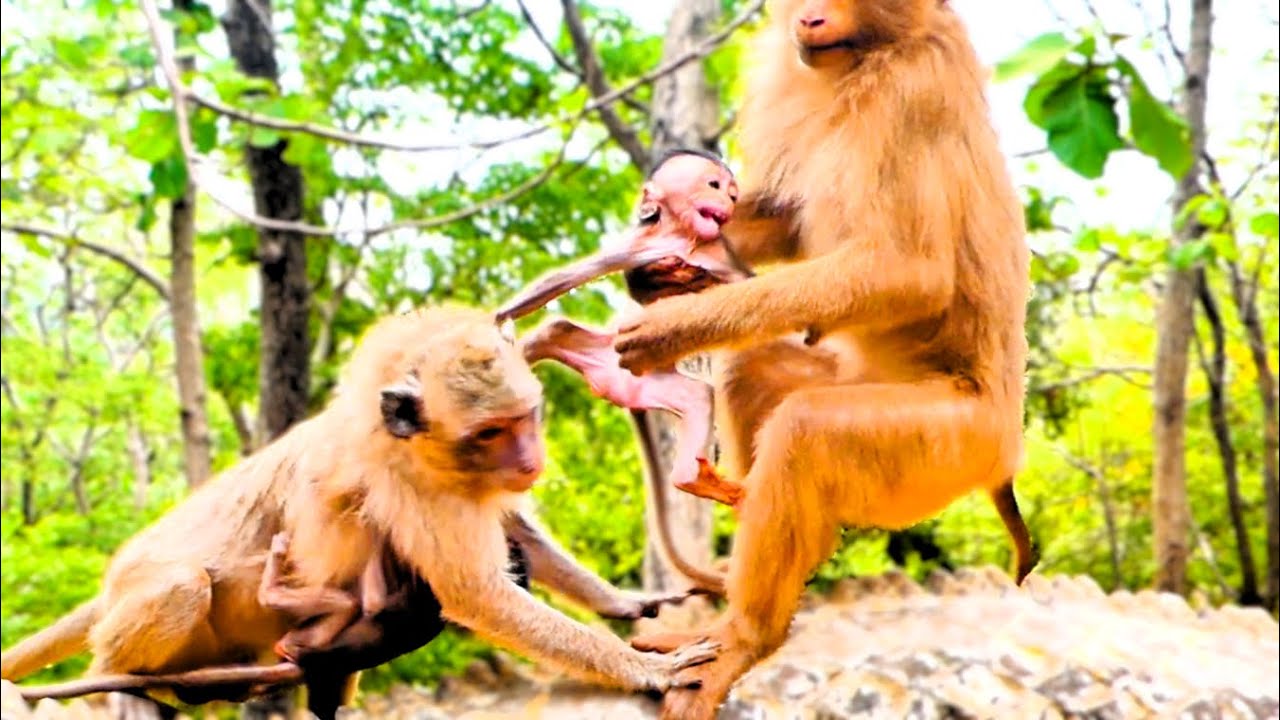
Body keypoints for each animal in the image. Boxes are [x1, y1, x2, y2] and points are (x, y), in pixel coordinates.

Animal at [1, 305, 716, 708]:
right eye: (490, 432)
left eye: (524, 419)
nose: (529, 460)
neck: (411, 445)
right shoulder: (414, 489)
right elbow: (479, 595)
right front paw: (646, 670)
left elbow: (518, 532)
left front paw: (622, 602)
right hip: (145, 597)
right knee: (180, 588)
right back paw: (131, 677)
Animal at [611, 2, 1037, 717]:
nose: (809, 19)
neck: (870, 55)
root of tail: (1007, 450)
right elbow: (789, 220)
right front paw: (658, 256)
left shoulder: (910, 93)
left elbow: (907, 273)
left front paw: (671, 325)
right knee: (753, 373)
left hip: (951, 444)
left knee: (807, 432)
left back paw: (746, 636)